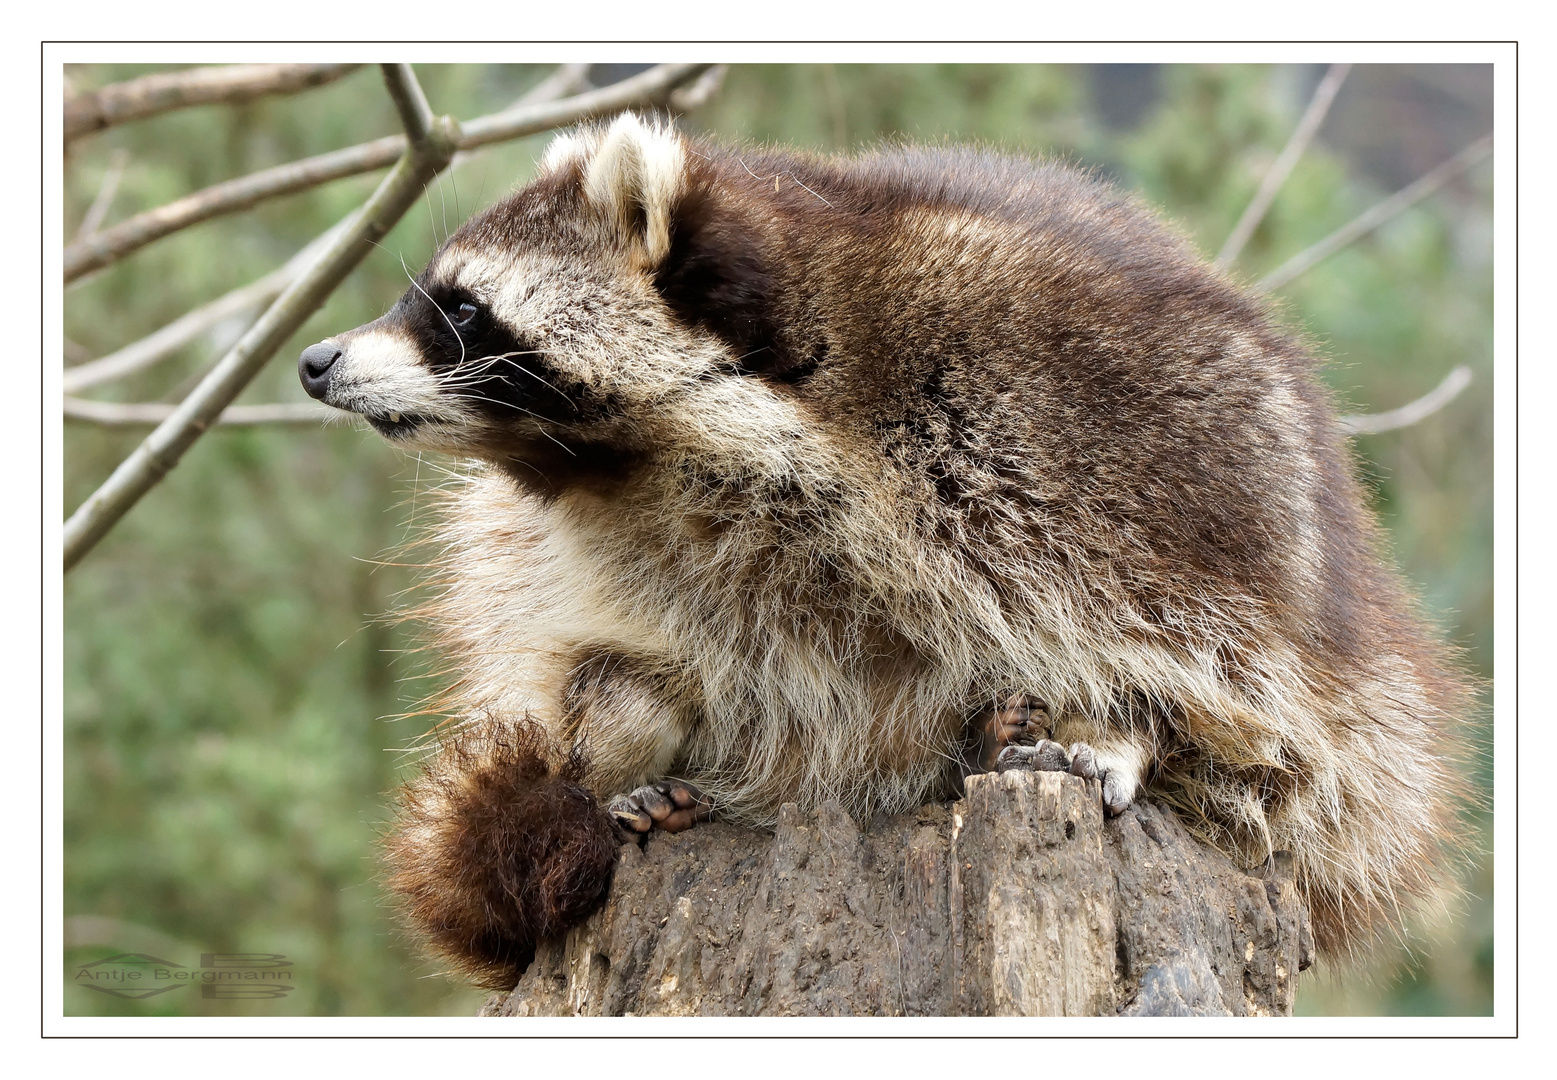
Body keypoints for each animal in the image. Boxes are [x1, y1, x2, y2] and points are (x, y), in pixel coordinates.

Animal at [300, 116, 1469, 989]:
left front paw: (1131, 729)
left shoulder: (1109, 453)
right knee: (627, 678)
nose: (313, 359)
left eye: (458, 307)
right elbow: (589, 650)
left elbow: (1244, 703)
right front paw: (609, 750)